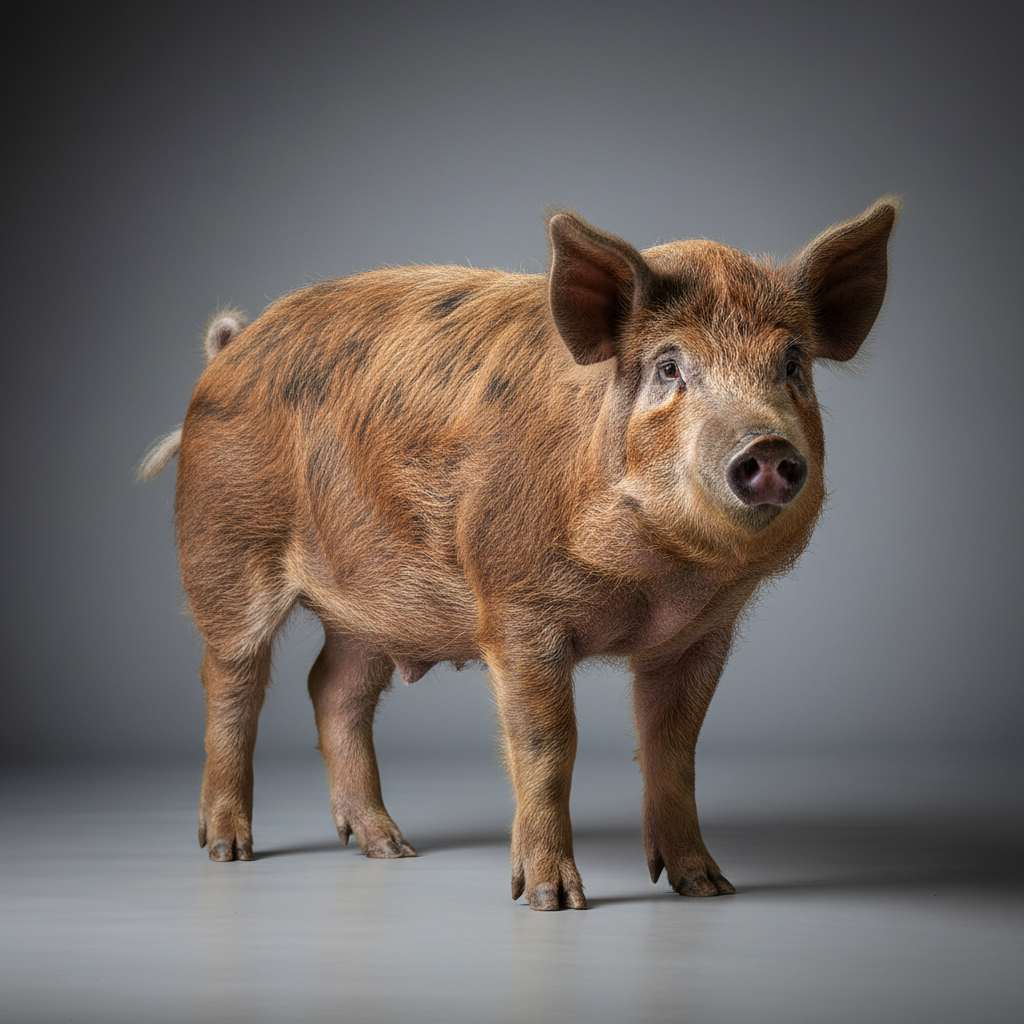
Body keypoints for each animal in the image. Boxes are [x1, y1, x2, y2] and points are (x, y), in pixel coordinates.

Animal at [141, 197, 900, 910]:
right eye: (669, 367)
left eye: (793, 363)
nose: (766, 447)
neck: (658, 579)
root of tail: (228, 350)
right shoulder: (517, 611)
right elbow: (547, 745)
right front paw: (554, 901)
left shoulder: (703, 631)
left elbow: (675, 747)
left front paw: (709, 887)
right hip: (224, 551)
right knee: (232, 682)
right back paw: (229, 850)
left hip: (373, 605)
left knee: (333, 687)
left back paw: (392, 848)